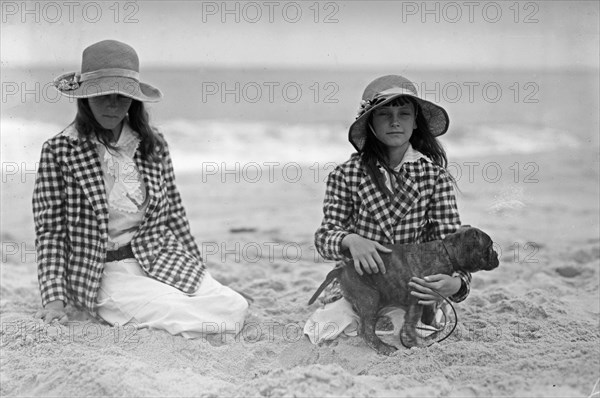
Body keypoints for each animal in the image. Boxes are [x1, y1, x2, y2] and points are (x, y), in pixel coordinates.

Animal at [308, 227, 500, 354]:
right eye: (489, 247)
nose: (497, 256)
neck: (446, 252)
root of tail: (342, 268)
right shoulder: (416, 297)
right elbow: (412, 322)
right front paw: (415, 342)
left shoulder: (428, 295)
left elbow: (429, 314)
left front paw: (435, 327)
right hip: (370, 297)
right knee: (366, 330)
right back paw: (384, 348)